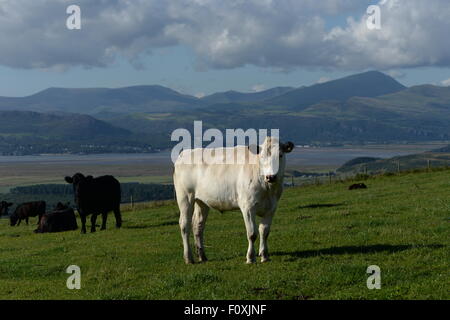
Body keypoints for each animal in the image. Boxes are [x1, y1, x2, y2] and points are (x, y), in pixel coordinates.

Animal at [173, 136, 296, 264]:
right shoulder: (248, 207)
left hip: (201, 201)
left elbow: (264, 232)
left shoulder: (271, 208)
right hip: (185, 197)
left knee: (198, 226)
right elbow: (252, 233)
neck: (267, 189)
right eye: (261, 156)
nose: (270, 177)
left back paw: (202, 256)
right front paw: (250, 258)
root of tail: (184, 153)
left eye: (280, 155)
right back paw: (188, 258)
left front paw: (264, 256)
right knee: (184, 225)